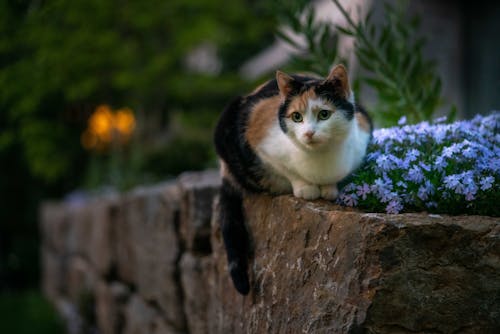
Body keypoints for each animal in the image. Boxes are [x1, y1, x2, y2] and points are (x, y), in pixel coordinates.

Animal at [213, 64, 374, 294]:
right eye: (296, 117)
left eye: (324, 114)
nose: (308, 133)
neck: (320, 160)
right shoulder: (262, 145)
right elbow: (288, 171)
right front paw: (306, 188)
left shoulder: (364, 134)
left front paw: (330, 189)